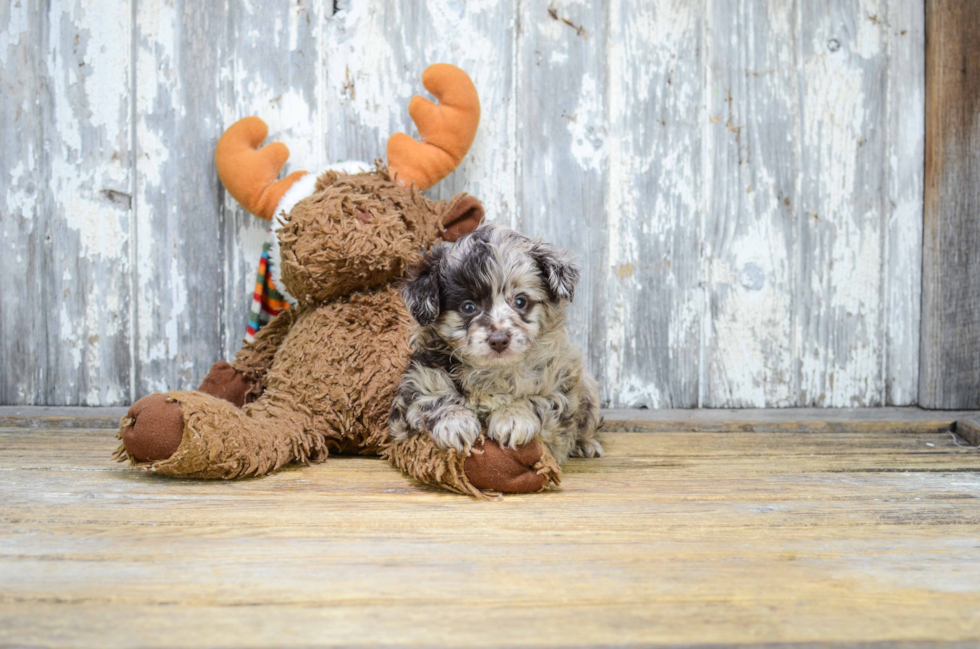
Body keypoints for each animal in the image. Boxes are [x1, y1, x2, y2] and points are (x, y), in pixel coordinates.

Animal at [386, 223, 600, 460]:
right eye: (468, 307)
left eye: (520, 301)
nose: (499, 340)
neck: (494, 371)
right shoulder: (418, 382)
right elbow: (432, 398)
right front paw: (455, 422)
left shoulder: (560, 382)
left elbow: (538, 399)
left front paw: (513, 417)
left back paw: (586, 445)